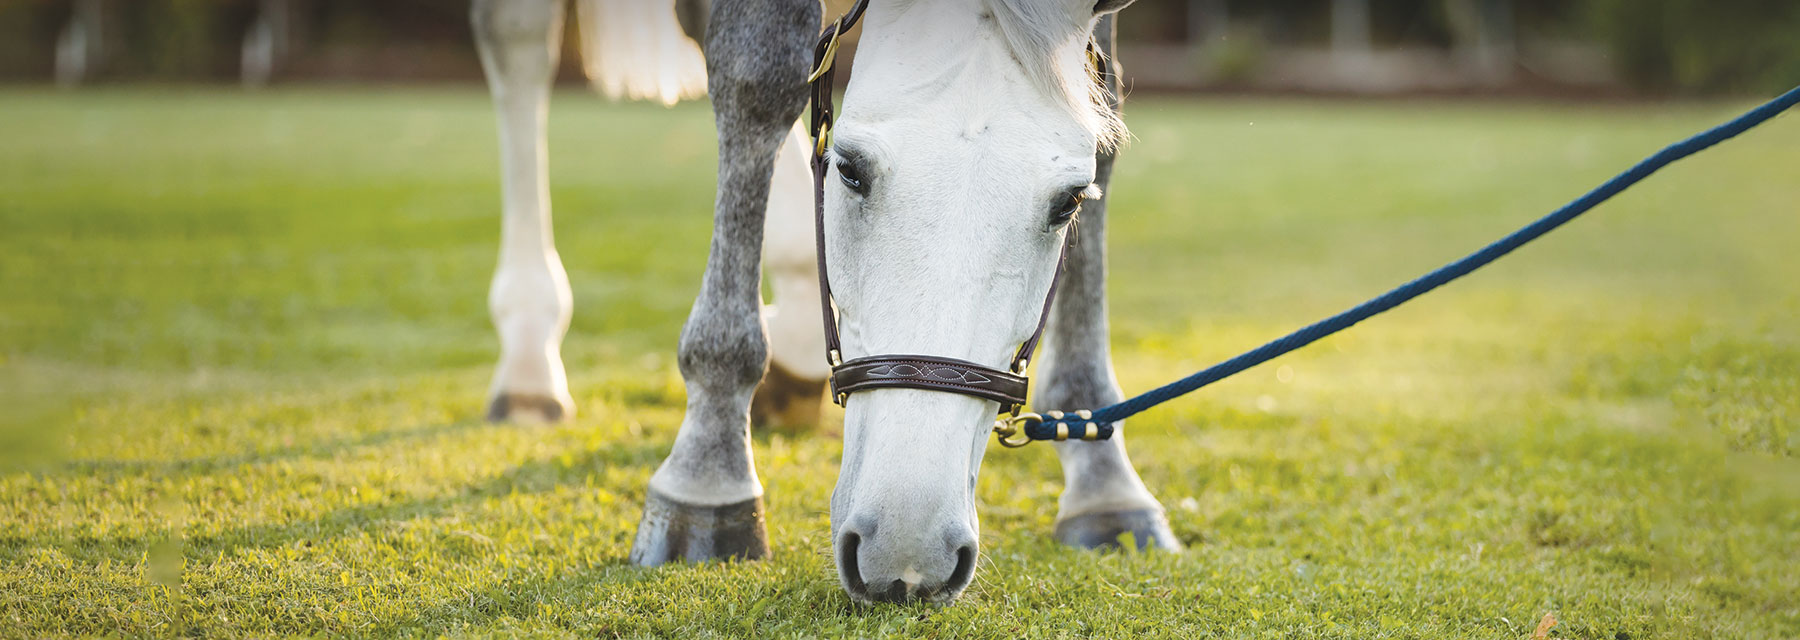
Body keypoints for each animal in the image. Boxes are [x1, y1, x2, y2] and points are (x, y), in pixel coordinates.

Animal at [471, 0, 1173, 604]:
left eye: (1070, 202)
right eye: (850, 169)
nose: (906, 555)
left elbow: (1105, 114)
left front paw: (1102, 475)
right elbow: (760, 79)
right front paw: (708, 467)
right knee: (519, 42)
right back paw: (530, 361)